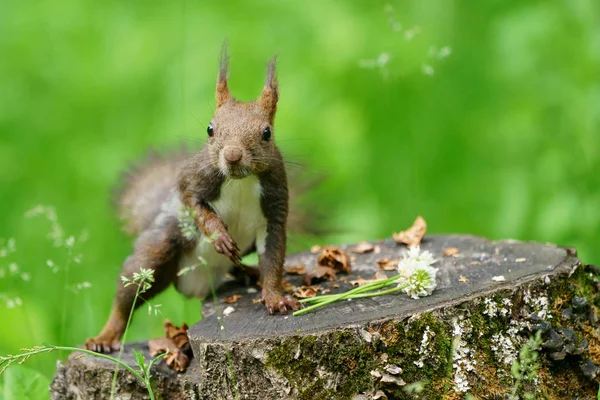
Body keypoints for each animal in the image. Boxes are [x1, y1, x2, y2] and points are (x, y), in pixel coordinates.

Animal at [84, 43, 300, 354]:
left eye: (266, 133)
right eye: (210, 129)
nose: (232, 156)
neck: (240, 181)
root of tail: (196, 283)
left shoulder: (275, 208)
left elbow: (273, 259)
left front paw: (274, 296)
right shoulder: (193, 177)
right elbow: (193, 201)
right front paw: (219, 235)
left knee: (241, 266)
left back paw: (252, 272)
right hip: (159, 251)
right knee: (126, 298)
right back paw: (105, 337)